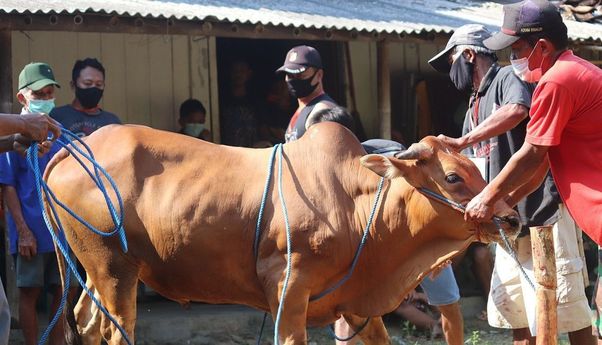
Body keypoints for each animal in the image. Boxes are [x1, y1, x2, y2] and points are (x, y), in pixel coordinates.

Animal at [44, 122, 516, 344]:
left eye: (477, 167)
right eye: (453, 177)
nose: (510, 218)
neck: (356, 205)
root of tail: (74, 146)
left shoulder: (355, 305)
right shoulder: (288, 286)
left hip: (100, 269)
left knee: (86, 323)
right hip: (114, 268)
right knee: (114, 330)